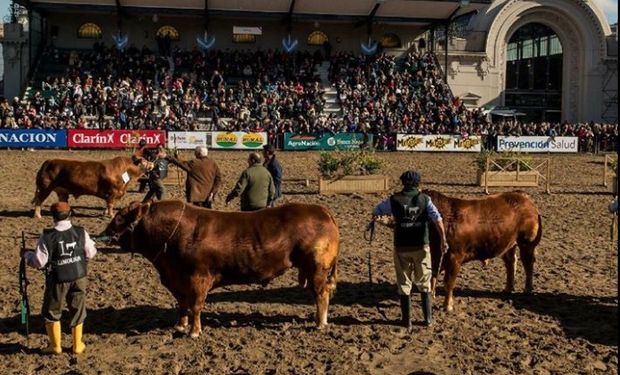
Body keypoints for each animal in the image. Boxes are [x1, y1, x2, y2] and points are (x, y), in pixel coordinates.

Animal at [101, 201, 340, 340]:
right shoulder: (177, 281)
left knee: (321, 293)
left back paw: (320, 323)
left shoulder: (198, 277)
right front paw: (180, 326)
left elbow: (196, 305)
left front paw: (194, 332)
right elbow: (182, 304)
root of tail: (321, 210)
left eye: (120, 217)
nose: (105, 231)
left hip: (317, 267)